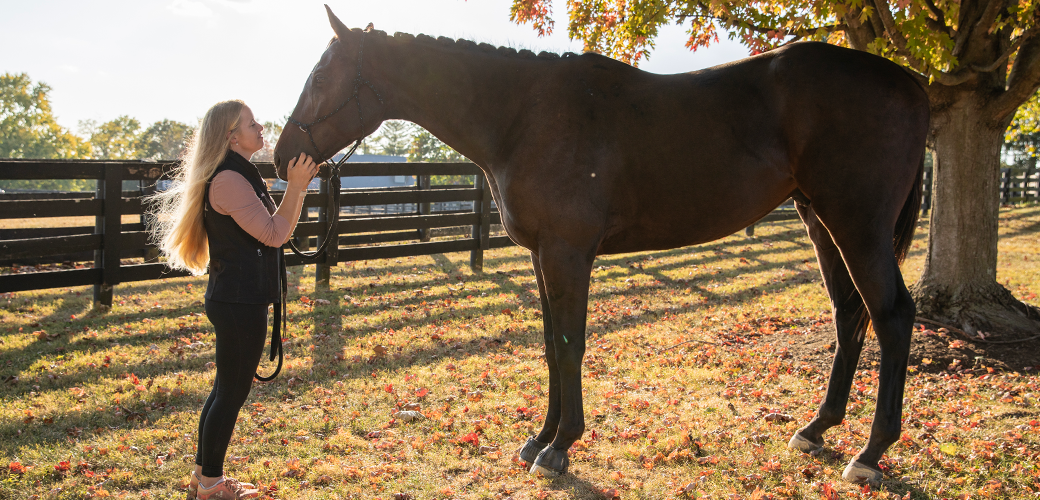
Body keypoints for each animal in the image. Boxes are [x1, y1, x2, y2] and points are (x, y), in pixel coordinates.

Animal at [274, 6, 928, 483]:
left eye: (320, 78)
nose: (283, 159)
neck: (523, 117)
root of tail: (909, 81)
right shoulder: (543, 256)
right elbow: (549, 346)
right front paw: (539, 438)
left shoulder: (567, 253)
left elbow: (569, 347)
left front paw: (560, 447)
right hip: (822, 222)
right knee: (850, 317)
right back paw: (817, 429)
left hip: (857, 225)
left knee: (892, 316)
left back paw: (869, 454)